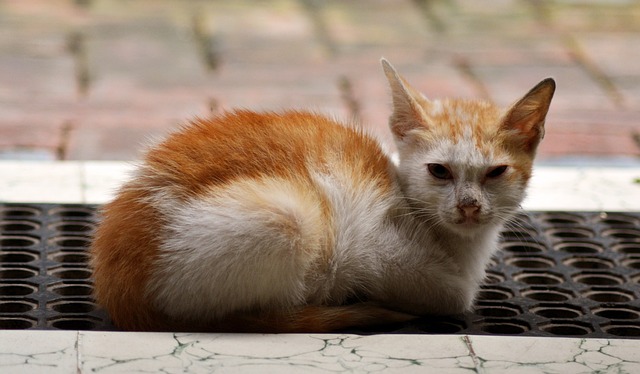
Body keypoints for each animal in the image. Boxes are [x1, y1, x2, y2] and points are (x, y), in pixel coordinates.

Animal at [90, 59, 556, 334]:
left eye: (496, 172)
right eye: (439, 171)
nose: (469, 206)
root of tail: (119, 290)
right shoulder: (375, 254)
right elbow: (453, 296)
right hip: (288, 218)